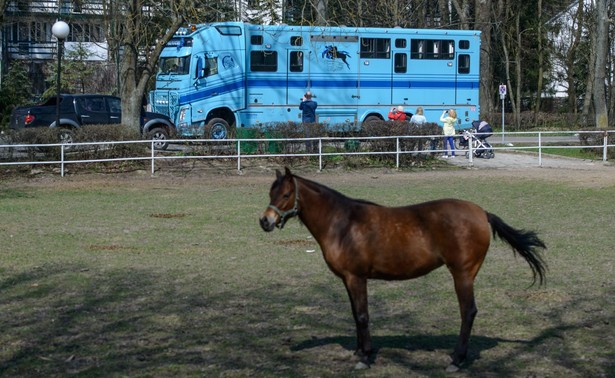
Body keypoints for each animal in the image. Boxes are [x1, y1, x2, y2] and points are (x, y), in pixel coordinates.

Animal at [258, 167, 548, 370]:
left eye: (286, 195)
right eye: (271, 194)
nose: (265, 221)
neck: (343, 223)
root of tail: (481, 212)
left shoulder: (356, 278)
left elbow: (362, 315)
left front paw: (365, 357)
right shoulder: (347, 280)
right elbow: (355, 315)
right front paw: (360, 351)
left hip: (462, 275)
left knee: (468, 312)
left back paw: (456, 360)